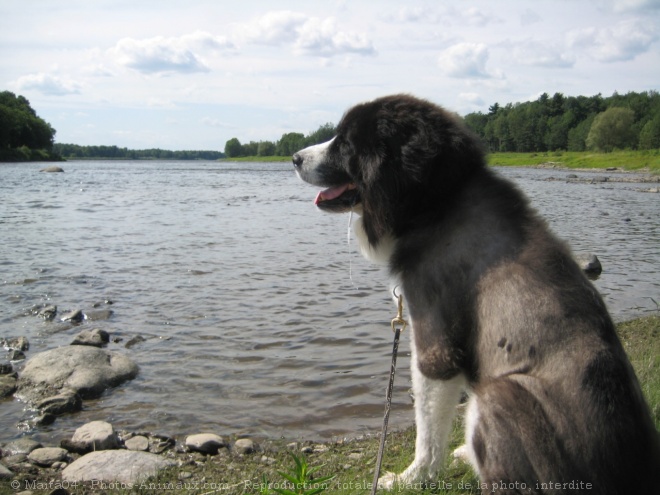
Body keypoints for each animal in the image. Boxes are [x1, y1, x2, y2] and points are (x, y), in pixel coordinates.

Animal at [296, 95, 660, 494]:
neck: (437, 202)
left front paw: (413, 477)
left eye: (345, 143)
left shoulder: (435, 344)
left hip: (501, 396)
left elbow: (428, 431)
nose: (295, 158)